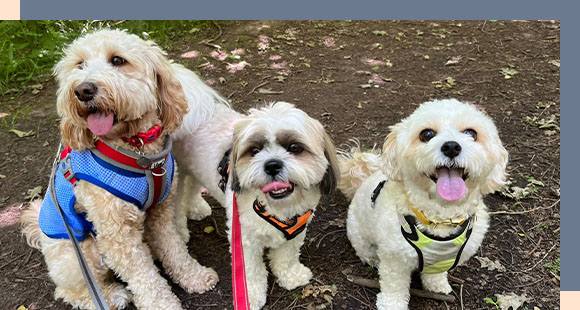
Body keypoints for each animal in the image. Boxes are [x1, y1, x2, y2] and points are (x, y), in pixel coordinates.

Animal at [21, 29, 219, 310]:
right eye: (79, 64)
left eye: (117, 60)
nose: (83, 90)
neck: (138, 150)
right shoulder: (116, 234)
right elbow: (143, 275)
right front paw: (161, 304)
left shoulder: (162, 211)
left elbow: (174, 248)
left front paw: (193, 276)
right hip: (80, 254)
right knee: (72, 291)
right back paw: (112, 296)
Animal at [172, 100, 340, 308]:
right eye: (254, 151)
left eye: (294, 147)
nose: (272, 164)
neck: (277, 208)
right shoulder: (244, 239)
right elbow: (250, 271)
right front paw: (249, 295)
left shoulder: (296, 230)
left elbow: (287, 256)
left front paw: (291, 276)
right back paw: (180, 231)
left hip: (195, 169)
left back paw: (197, 208)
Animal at [336, 99, 508, 310]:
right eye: (426, 134)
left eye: (471, 133)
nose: (451, 147)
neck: (441, 218)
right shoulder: (395, 259)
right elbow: (394, 286)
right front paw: (392, 304)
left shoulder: (441, 260)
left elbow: (435, 274)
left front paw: (437, 285)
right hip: (358, 233)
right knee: (364, 249)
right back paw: (371, 258)